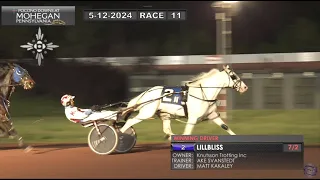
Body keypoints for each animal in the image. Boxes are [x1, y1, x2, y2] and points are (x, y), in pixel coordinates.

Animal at [119, 64, 248, 139]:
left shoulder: (212, 115)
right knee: (129, 122)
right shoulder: (192, 119)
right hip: (147, 113)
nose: (245, 87)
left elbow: (225, 126)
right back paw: (120, 135)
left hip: (165, 115)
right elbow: (187, 133)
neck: (202, 93)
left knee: (167, 129)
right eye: (234, 76)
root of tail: (145, 93)